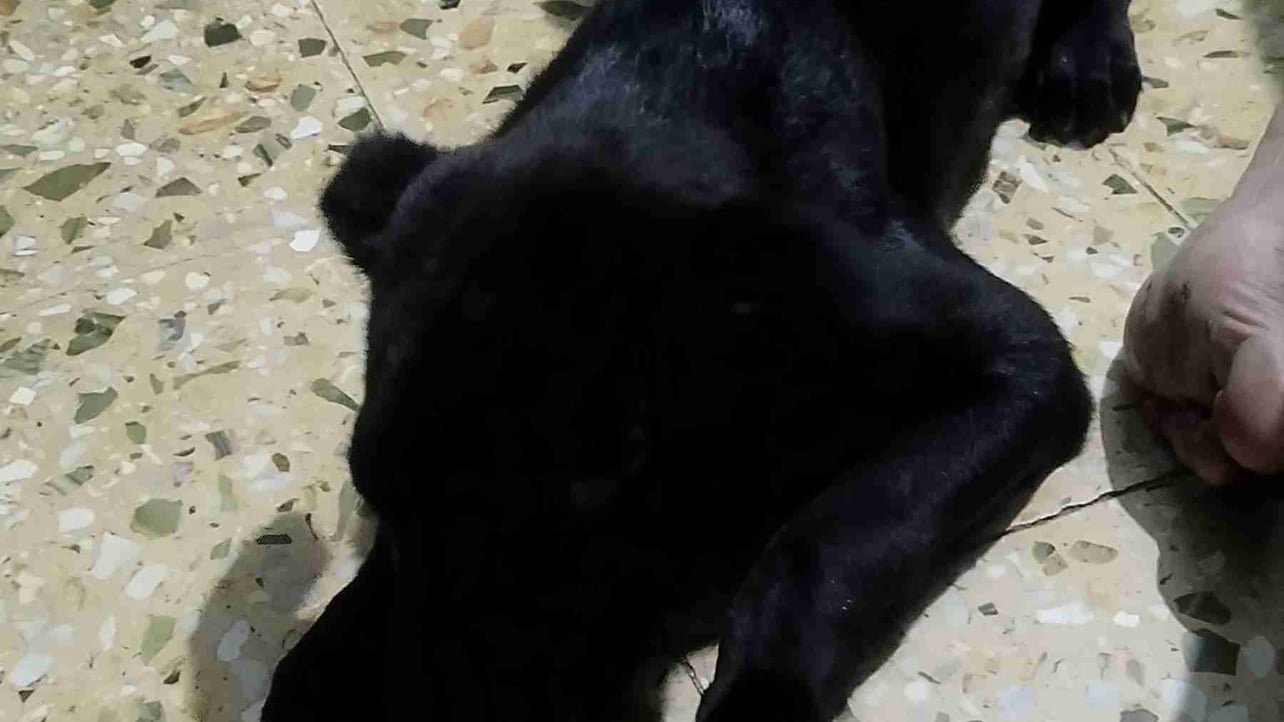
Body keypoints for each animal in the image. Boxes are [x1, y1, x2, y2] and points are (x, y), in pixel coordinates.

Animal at [263, 0, 1139, 719]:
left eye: (556, 535)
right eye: (376, 499)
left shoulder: (1014, 355)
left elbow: (824, 549)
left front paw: (759, 701)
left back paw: (1088, 61)